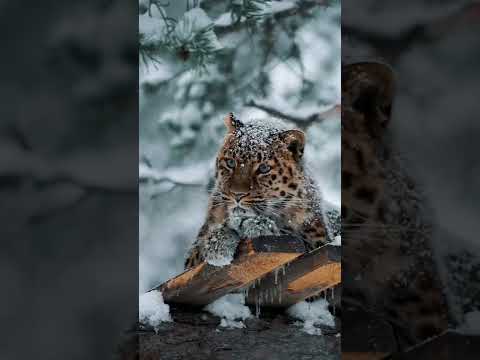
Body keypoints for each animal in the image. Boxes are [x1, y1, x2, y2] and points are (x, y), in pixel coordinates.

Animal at [185, 114, 342, 268]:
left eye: (264, 168)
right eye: (230, 163)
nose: (237, 194)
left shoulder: (317, 238)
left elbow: (291, 234)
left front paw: (256, 225)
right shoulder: (192, 256)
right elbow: (199, 249)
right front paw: (217, 244)